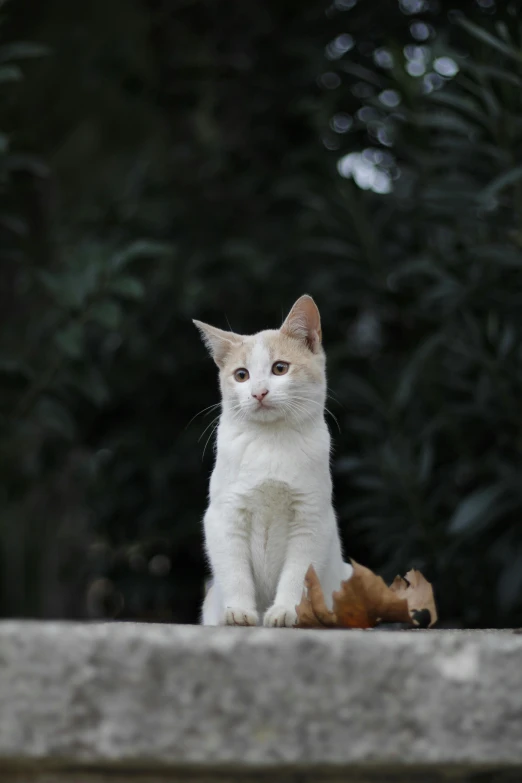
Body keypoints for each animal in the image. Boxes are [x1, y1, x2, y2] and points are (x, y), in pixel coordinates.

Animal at [192, 296, 350, 632]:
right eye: (241, 375)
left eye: (280, 368)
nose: (259, 392)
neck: (270, 441)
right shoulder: (225, 516)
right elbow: (235, 572)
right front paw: (239, 612)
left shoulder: (311, 519)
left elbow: (298, 574)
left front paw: (285, 611)